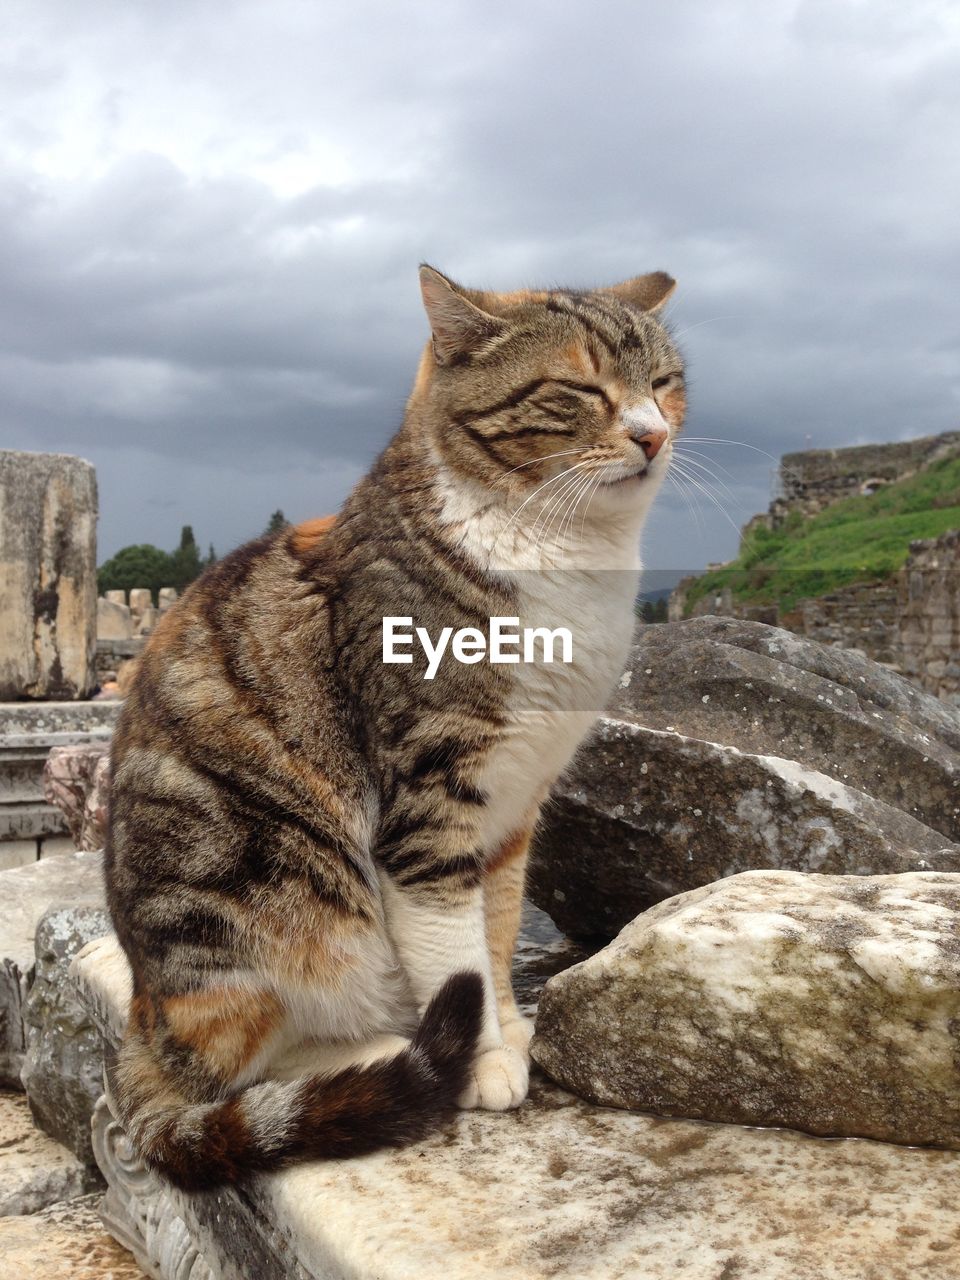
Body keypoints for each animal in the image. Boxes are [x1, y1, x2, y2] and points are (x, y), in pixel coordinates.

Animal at [104, 264, 686, 1192]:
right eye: (579, 390)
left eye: (664, 383)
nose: (653, 434)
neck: (560, 555)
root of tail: (140, 1022)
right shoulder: (428, 796)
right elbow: (456, 950)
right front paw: (481, 1062)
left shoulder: (515, 807)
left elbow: (497, 931)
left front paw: (509, 1027)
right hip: (267, 894)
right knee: (245, 1064)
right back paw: (379, 1053)